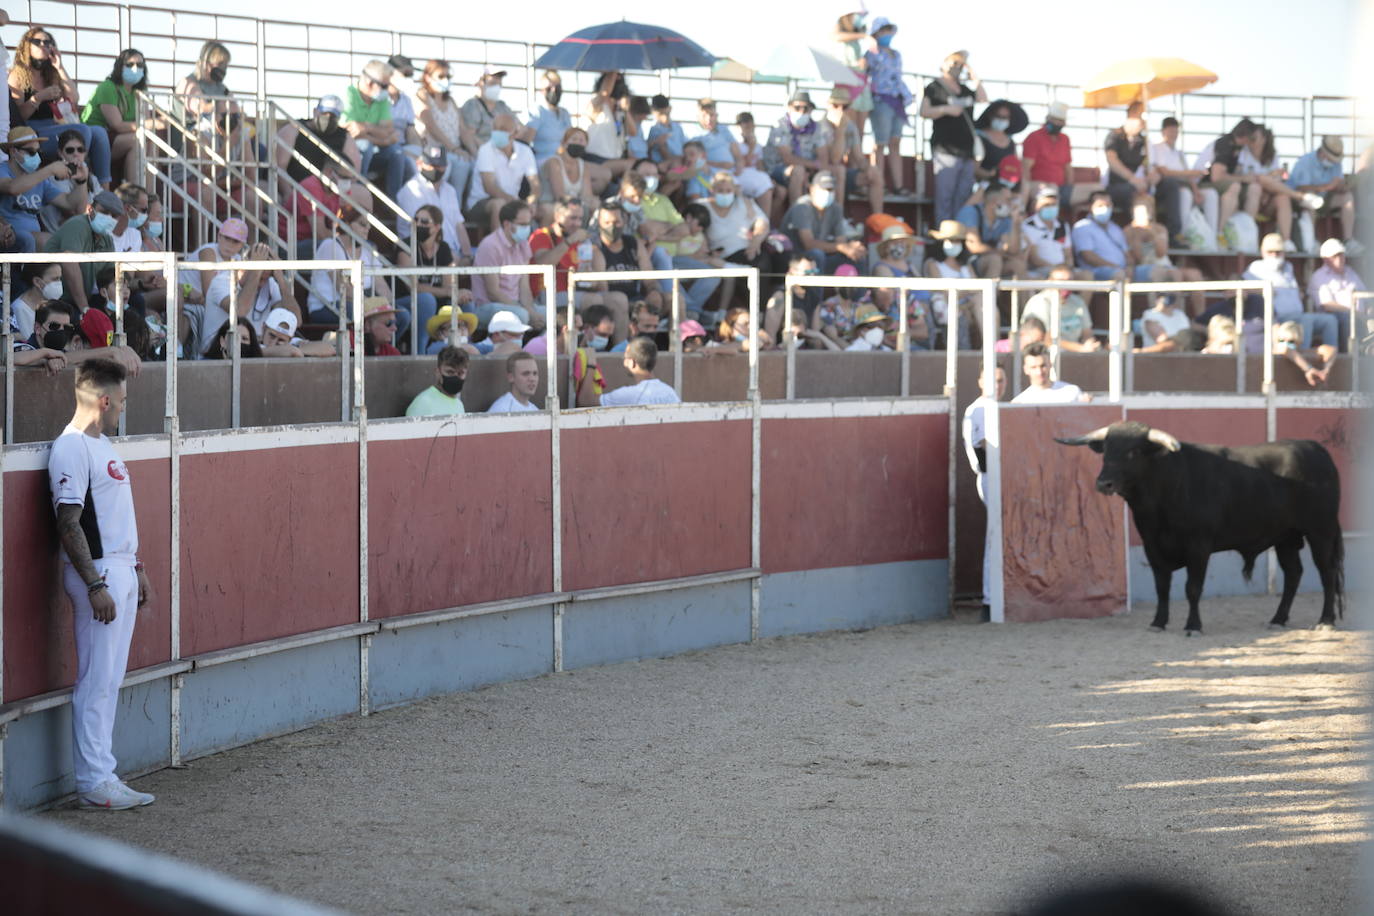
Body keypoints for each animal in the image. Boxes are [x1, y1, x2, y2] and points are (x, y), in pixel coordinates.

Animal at [1049, 425, 1341, 634]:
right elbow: (1162, 587)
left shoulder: (1198, 547)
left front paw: (1193, 626)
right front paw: (1158, 622)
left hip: (1321, 531)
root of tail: (1316, 449)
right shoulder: (1152, 546)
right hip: (1286, 537)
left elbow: (1192, 588)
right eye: (1106, 451)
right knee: (1293, 574)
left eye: (1133, 451)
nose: (1103, 483)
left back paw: (1325, 620)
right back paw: (1278, 619)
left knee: (1326, 572)